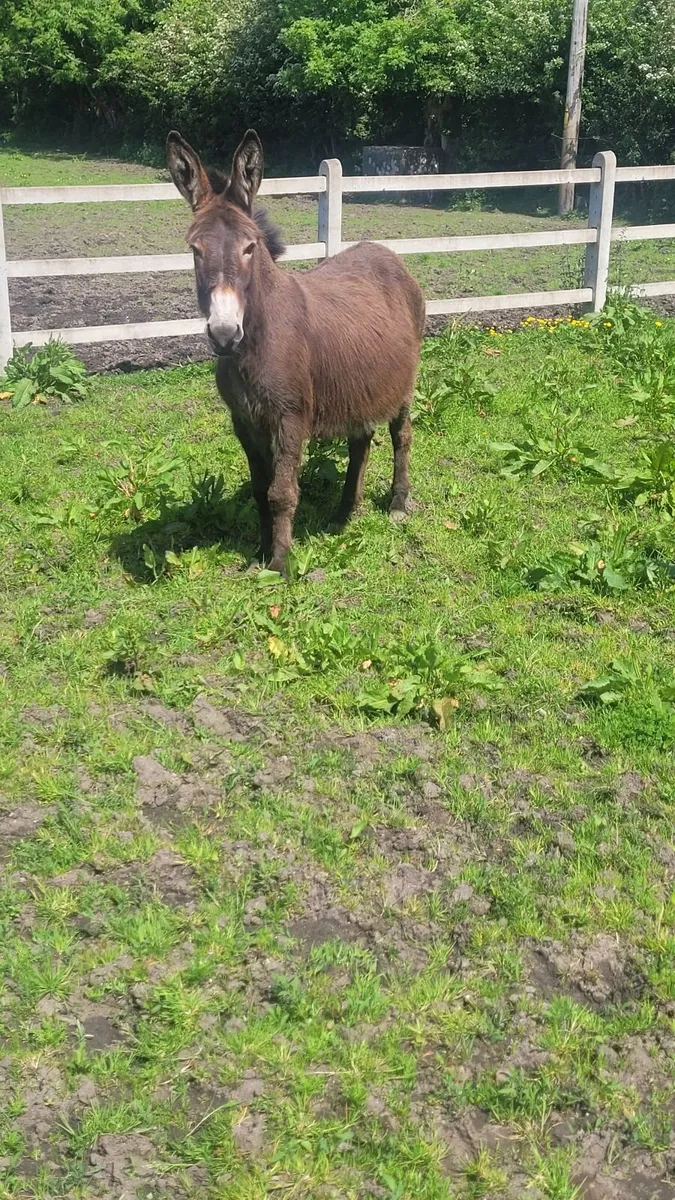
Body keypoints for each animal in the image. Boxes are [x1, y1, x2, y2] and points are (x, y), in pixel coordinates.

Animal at [167, 128, 426, 575]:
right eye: (195, 250)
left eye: (250, 248)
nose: (224, 334)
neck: (254, 343)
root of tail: (383, 251)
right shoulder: (244, 421)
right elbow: (260, 489)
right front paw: (260, 550)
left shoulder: (290, 417)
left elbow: (282, 491)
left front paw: (280, 563)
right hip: (358, 385)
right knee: (361, 442)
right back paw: (343, 513)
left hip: (402, 387)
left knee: (401, 436)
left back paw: (396, 503)